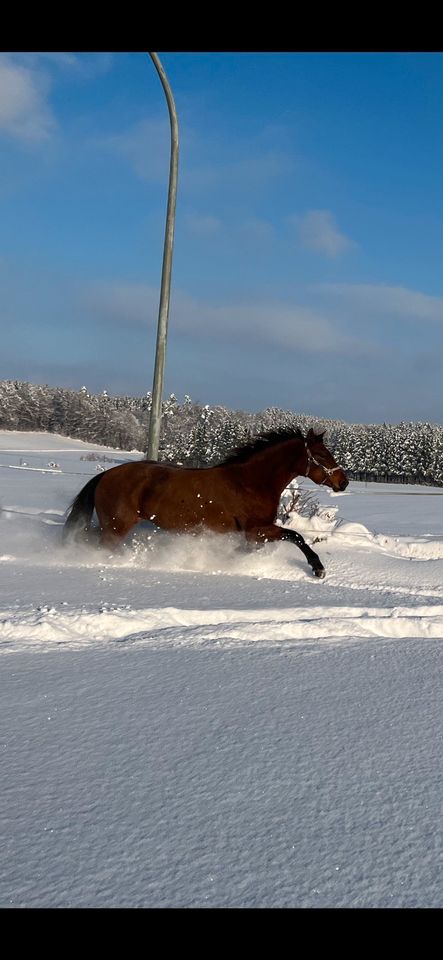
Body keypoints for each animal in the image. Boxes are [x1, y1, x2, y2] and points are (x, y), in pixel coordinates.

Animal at [63, 428, 346, 576]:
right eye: (322, 455)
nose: (343, 482)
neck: (250, 481)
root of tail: (105, 476)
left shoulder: (252, 534)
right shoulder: (257, 530)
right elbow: (296, 536)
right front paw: (318, 568)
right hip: (116, 526)